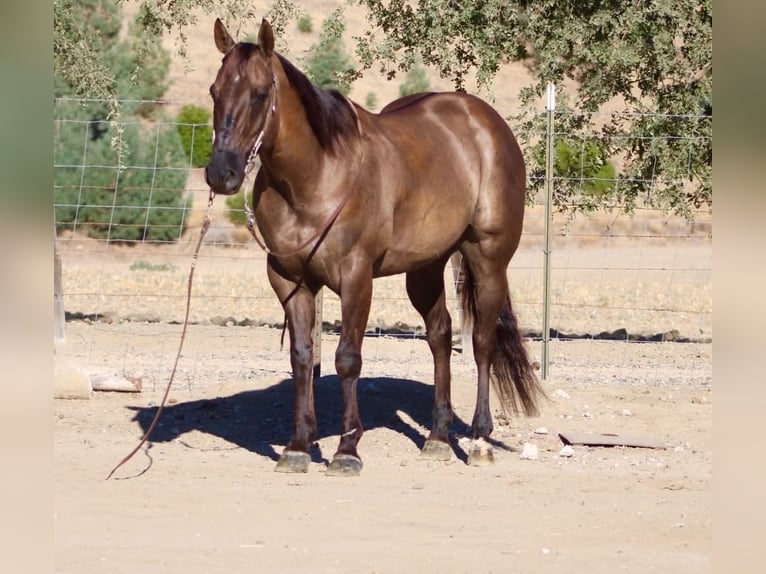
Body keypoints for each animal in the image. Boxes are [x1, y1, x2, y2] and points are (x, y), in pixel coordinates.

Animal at [205, 18, 545, 476]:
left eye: (259, 93)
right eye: (214, 90)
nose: (220, 173)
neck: (316, 177)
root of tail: (485, 121)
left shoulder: (356, 278)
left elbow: (347, 358)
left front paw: (347, 450)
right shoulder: (289, 280)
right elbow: (302, 358)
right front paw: (298, 447)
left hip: (488, 259)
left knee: (482, 343)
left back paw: (478, 441)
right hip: (425, 268)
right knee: (440, 336)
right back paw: (438, 438)